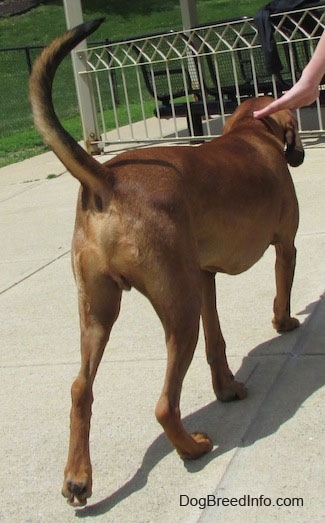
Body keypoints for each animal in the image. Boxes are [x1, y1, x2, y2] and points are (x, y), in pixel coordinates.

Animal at [29, 20, 302, 508]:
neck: (250, 133)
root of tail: (107, 180)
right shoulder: (285, 245)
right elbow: (281, 294)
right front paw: (285, 323)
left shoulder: (204, 278)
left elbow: (218, 343)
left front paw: (227, 388)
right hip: (179, 311)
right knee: (163, 405)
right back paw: (192, 448)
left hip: (99, 310)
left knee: (80, 388)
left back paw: (78, 478)